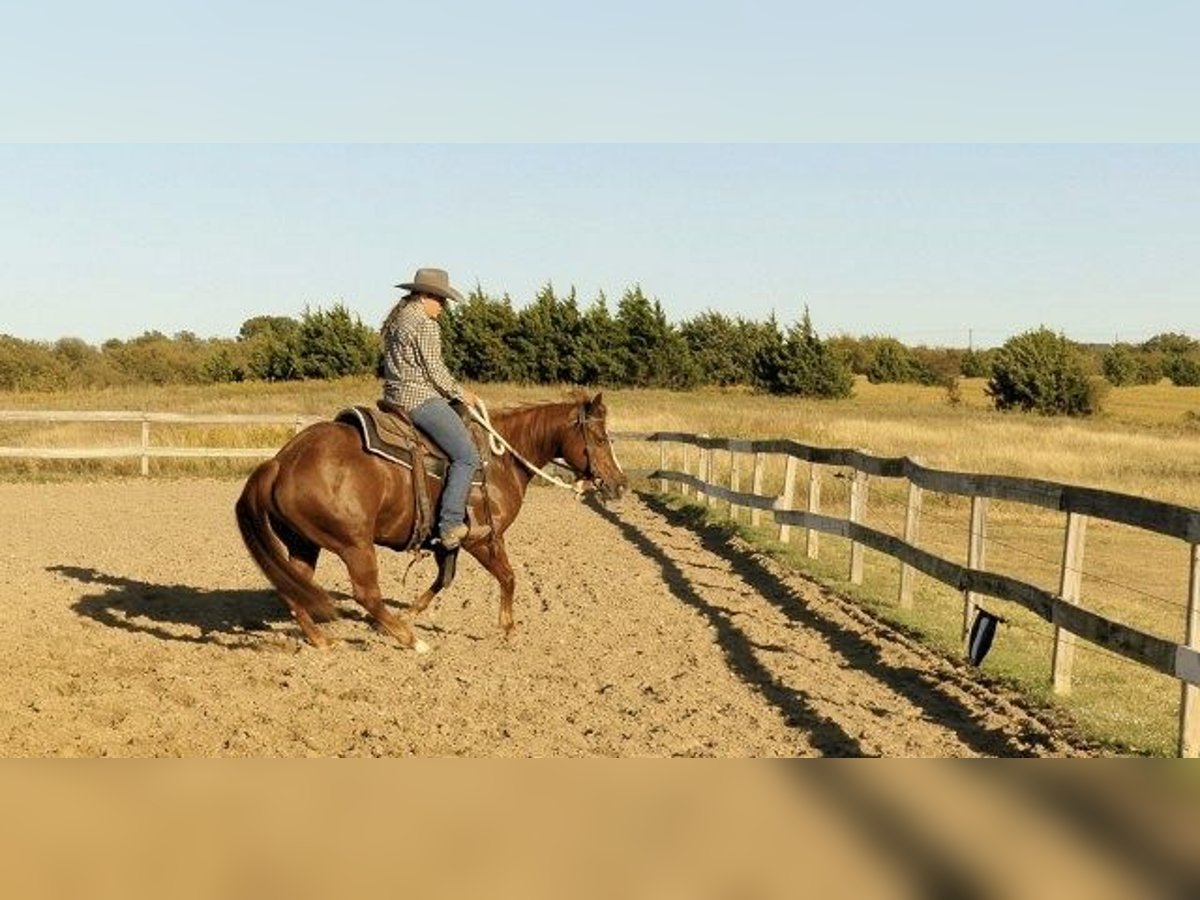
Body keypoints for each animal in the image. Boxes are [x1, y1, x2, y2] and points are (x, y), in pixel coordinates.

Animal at [235, 393, 628, 649]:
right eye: (598, 437)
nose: (620, 484)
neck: (499, 461)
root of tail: (281, 461)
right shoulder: (482, 538)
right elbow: (508, 577)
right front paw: (509, 628)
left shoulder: (446, 540)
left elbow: (444, 579)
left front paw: (412, 611)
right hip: (354, 544)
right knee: (366, 593)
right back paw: (410, 641)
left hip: (304, 543)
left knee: (294, 587)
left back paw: (323, 640)